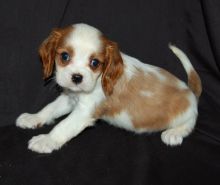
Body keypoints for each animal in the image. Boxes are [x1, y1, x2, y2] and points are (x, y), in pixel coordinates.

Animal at [15, 23, 201, 153]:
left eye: (95, 63)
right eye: (65, 56)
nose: (77, 77)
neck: (100, 79)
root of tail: (190, 91)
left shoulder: (85, 111)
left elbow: (64, 126)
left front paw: (46, 140)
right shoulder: (70, 99)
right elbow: (50, 108)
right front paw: (33, 118)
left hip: (185, 111)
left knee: (190, 122)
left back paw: (174, 133)